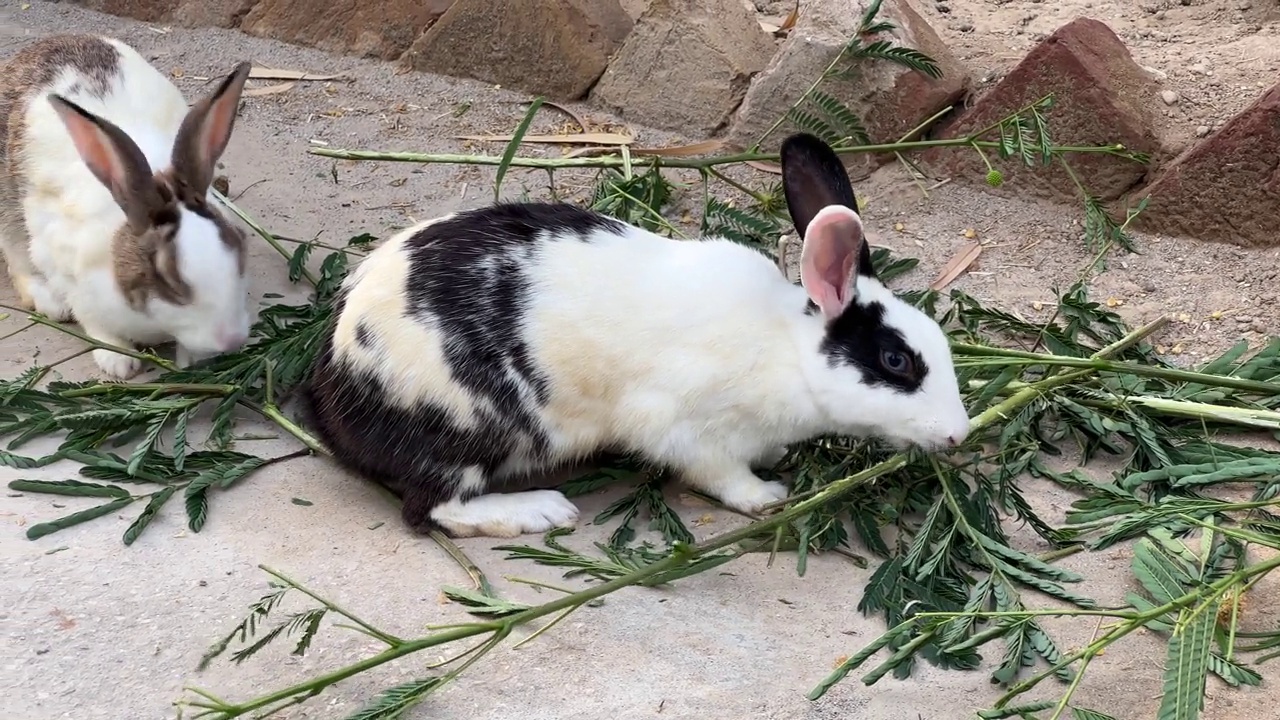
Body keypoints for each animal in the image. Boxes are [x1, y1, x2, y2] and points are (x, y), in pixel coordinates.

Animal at [0, 34, 257, 379]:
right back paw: (50, 303)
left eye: (239, 246)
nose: (231, 339)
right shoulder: (68, 273)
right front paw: (119, 362)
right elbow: (96, 326)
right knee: (18, 263)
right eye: (167, 279)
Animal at [302, 133, 967, 538]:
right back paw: (541, 509)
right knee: (432, 508)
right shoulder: (688, 430)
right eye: (896, 361)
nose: (959, 435)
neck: (785, 349)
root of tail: (335, 392)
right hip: (467, 430)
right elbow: (718, 475)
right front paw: (765, 495)